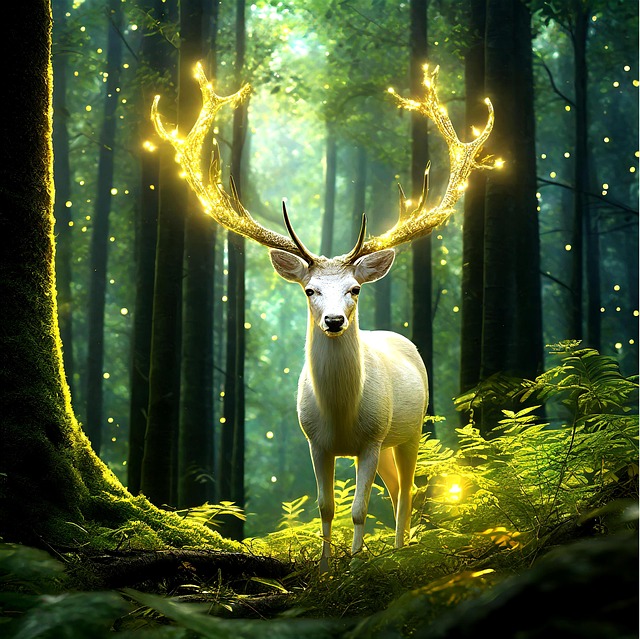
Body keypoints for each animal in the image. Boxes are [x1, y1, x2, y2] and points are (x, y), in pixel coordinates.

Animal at [151, 62, 496, 569]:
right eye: (310, 290)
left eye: (354, 289)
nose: (334, 321)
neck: (342, 417)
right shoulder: (314, 440)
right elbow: (326, 506)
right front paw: (327, 566)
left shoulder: (372, 438)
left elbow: (359, 508)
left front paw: (354, 566)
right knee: (397, 488)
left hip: (410, 429)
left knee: (407, 490)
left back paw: (400, 551)